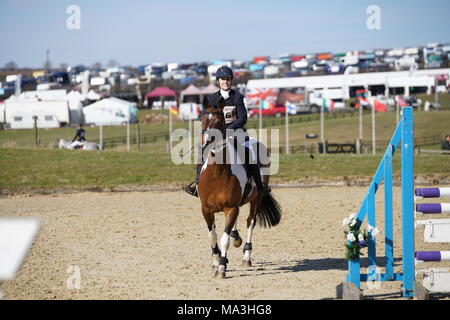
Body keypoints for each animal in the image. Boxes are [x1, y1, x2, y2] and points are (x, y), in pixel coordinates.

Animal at [198, 95, 282, 278]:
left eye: (219, 121)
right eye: (202, 119)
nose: (206, 142)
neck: (217, 173)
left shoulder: (231, 207)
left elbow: (224, 240)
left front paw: (222, 267)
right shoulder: (206, 210)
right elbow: (212, 237)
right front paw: (216, 261)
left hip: (256, 199)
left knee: (251, 222)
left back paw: (246, 256)